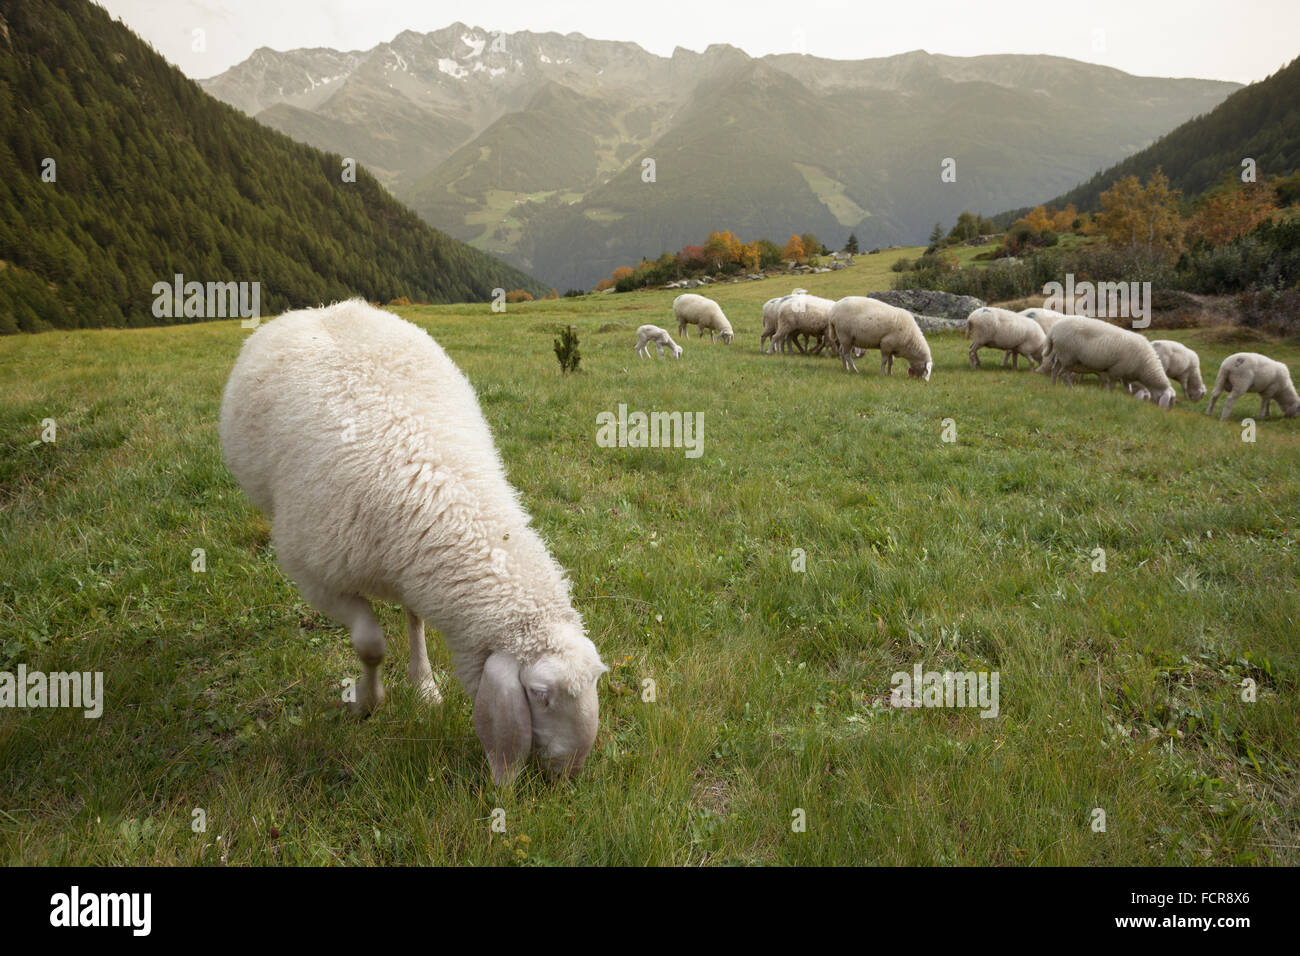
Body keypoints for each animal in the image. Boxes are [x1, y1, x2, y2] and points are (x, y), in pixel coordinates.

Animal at [219, 300, 607, 786]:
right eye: (540, 694)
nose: (569, 773)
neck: (430, 480)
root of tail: (324, 307)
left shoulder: (412, 561)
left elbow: (415, 618)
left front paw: (423, 685)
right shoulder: (314, 576)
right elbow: (370, 644)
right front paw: (366, 703)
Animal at [1041, 317, 1175, 408]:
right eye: (1170, 401)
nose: (1165, 412)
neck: (1145, 366)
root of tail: (1054, 328)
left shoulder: (1125, 374)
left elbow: (1128, 389)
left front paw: (1127, 399)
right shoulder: (1116, 370)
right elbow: (1111, 385)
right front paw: (1108, 396)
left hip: (1061, 356)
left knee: (1055, 370)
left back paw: (1053, 385)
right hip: (1068, 357)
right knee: (1064, 374)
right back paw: (1071, 389)